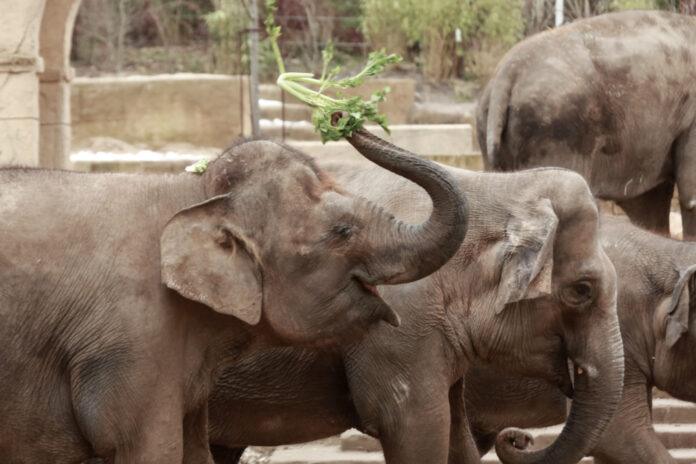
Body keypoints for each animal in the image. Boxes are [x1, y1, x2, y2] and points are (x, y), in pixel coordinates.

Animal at [1, 125, 468, 462]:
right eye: (343, 231)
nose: (342, 116)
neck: (192, 193)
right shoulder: (133, 344)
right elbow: (150, 449)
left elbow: (194, 452)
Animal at [204, 159, 624, 464]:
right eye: (582, 290)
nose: (518, 438)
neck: (493, 187)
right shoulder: (398, 330)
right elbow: (418, 432)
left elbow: (456, 436)